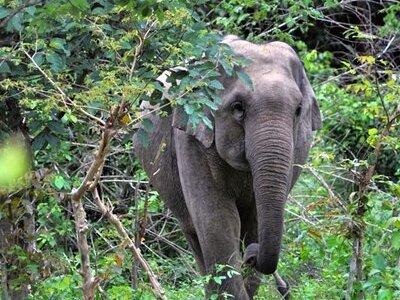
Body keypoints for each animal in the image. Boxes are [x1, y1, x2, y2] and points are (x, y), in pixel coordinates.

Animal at [134, 35, 322, 300]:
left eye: (298, 110)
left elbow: (254, 220)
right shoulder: (191, 136)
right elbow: (217, 221)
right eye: (238, 107)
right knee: (195, 234)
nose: (251, 255)